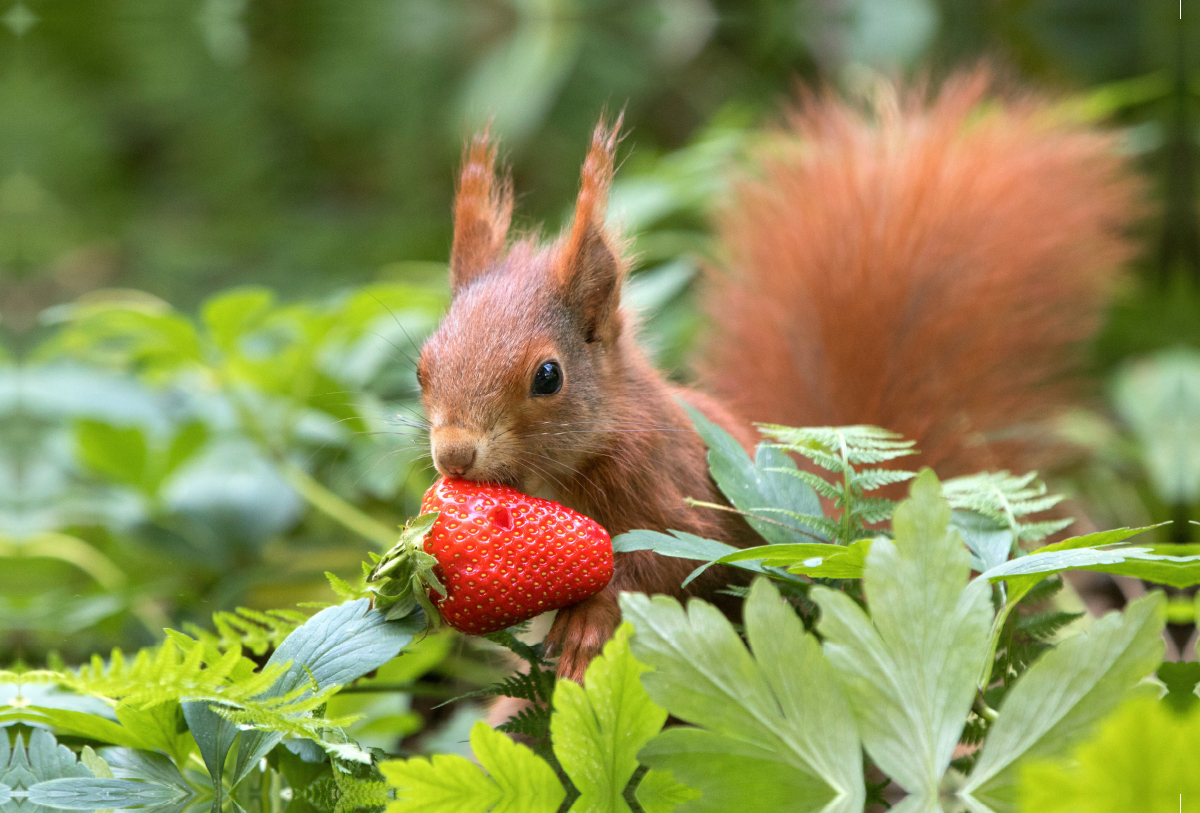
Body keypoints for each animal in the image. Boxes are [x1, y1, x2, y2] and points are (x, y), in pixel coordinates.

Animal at [417, 70, 1137, 685]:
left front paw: (590, 618)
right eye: (422, 365)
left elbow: (668, 563)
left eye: (548, 375)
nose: (454, 454)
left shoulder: (671, 490)